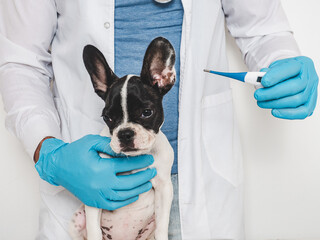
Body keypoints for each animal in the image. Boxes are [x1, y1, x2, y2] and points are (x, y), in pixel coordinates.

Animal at [69, 36, 176, 240]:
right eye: (107, 117)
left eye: (147, 112)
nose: (125, 133)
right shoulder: (95, 193)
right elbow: (94, 230)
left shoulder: (164, 188)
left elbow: (162, 226)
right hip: (77, 220)